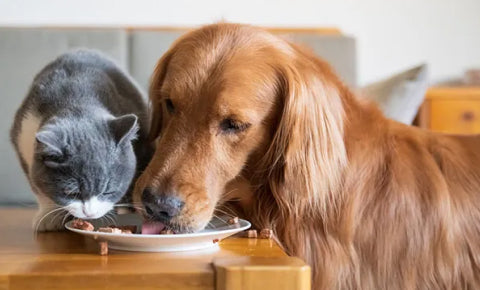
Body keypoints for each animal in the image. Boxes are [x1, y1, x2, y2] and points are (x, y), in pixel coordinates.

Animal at [10, 49, 150, 231]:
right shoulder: (23, 136)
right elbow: (38, 185)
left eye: (108, 191)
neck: (75, 98)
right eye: (72, 193)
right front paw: (49, 216)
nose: (90, 213)